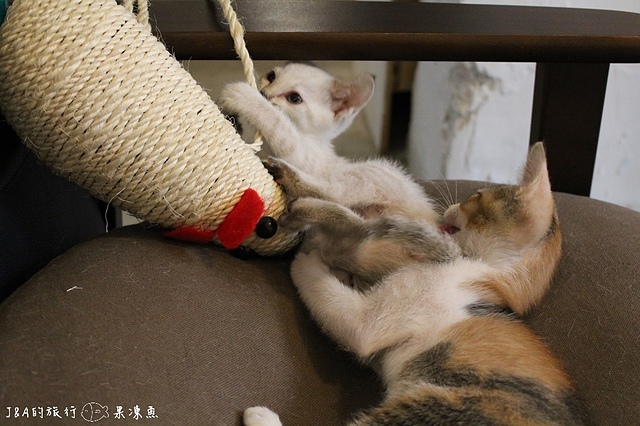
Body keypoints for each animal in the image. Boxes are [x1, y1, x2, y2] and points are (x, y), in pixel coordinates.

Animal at [218, 62, 438, 225]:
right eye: (271, 76)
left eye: (294, 98)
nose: (264, 93)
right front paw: (232, 119)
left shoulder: (306, 157)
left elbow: (280, 126)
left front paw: (245, 97)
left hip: (374, 174)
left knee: (336, 195)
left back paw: (289, 179)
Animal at [243, 143, 586, 425]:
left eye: (475, 197)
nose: (449, 208)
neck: (485, 271)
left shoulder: (370, 321)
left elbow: (331, 278)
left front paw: (309, 251)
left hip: (438, 406)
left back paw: (260, 416)